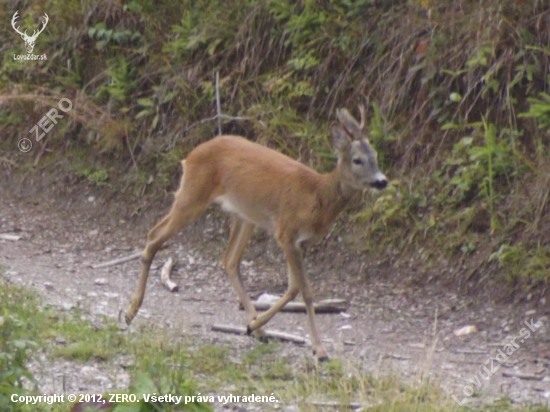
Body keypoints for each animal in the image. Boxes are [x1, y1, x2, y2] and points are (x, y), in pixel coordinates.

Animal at [127, 107, 390, 360]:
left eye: (376, 156)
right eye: (357, 160)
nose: (382, 181)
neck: (317, 197)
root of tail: (189, 156)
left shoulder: (301, 242)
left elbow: (295, 288)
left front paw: (256, 327)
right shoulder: (286, 232)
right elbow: (304, 290)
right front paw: (319, 350)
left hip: (245, 215)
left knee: (229, 260)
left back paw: (259, 329)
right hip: (193, 195)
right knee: (154, 235)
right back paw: (131, 310)